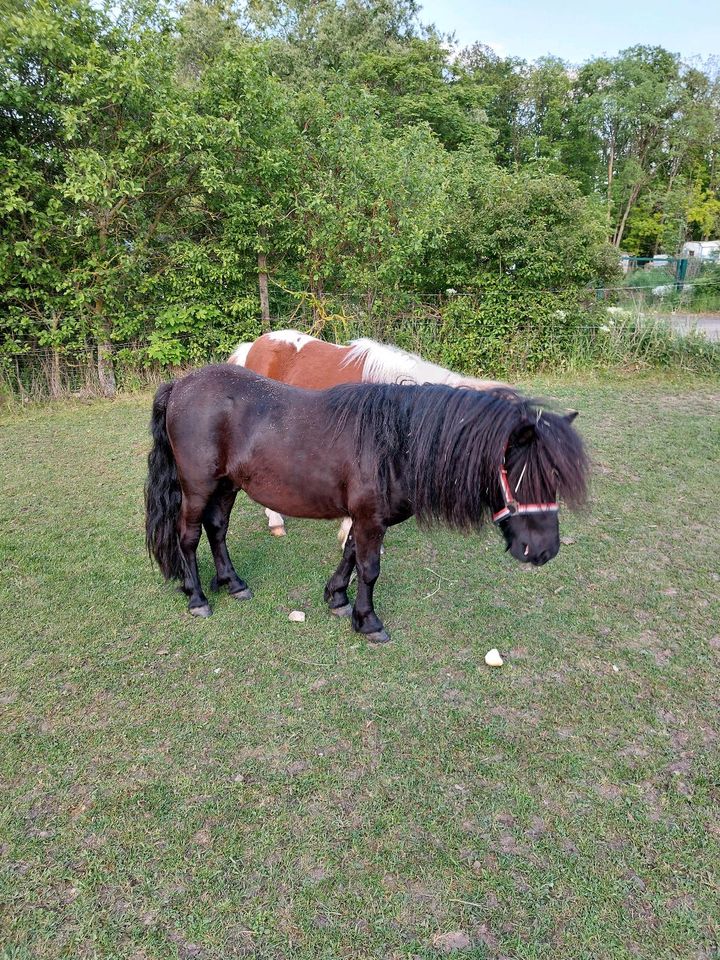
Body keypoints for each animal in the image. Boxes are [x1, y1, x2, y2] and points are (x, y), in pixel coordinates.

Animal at [143, 368, 588, 644]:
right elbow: (370, 567)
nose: (544, 551)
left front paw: (337, 598)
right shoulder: (370, 517)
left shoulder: (366, 516)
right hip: (197, 486)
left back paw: (232, 582)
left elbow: (350, 554)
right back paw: (197, 597)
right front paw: (368, 621)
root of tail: (180, 385)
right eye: (524, 474)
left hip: (226, 486)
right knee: (188, 536)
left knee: (217, 529)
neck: (396, 443)